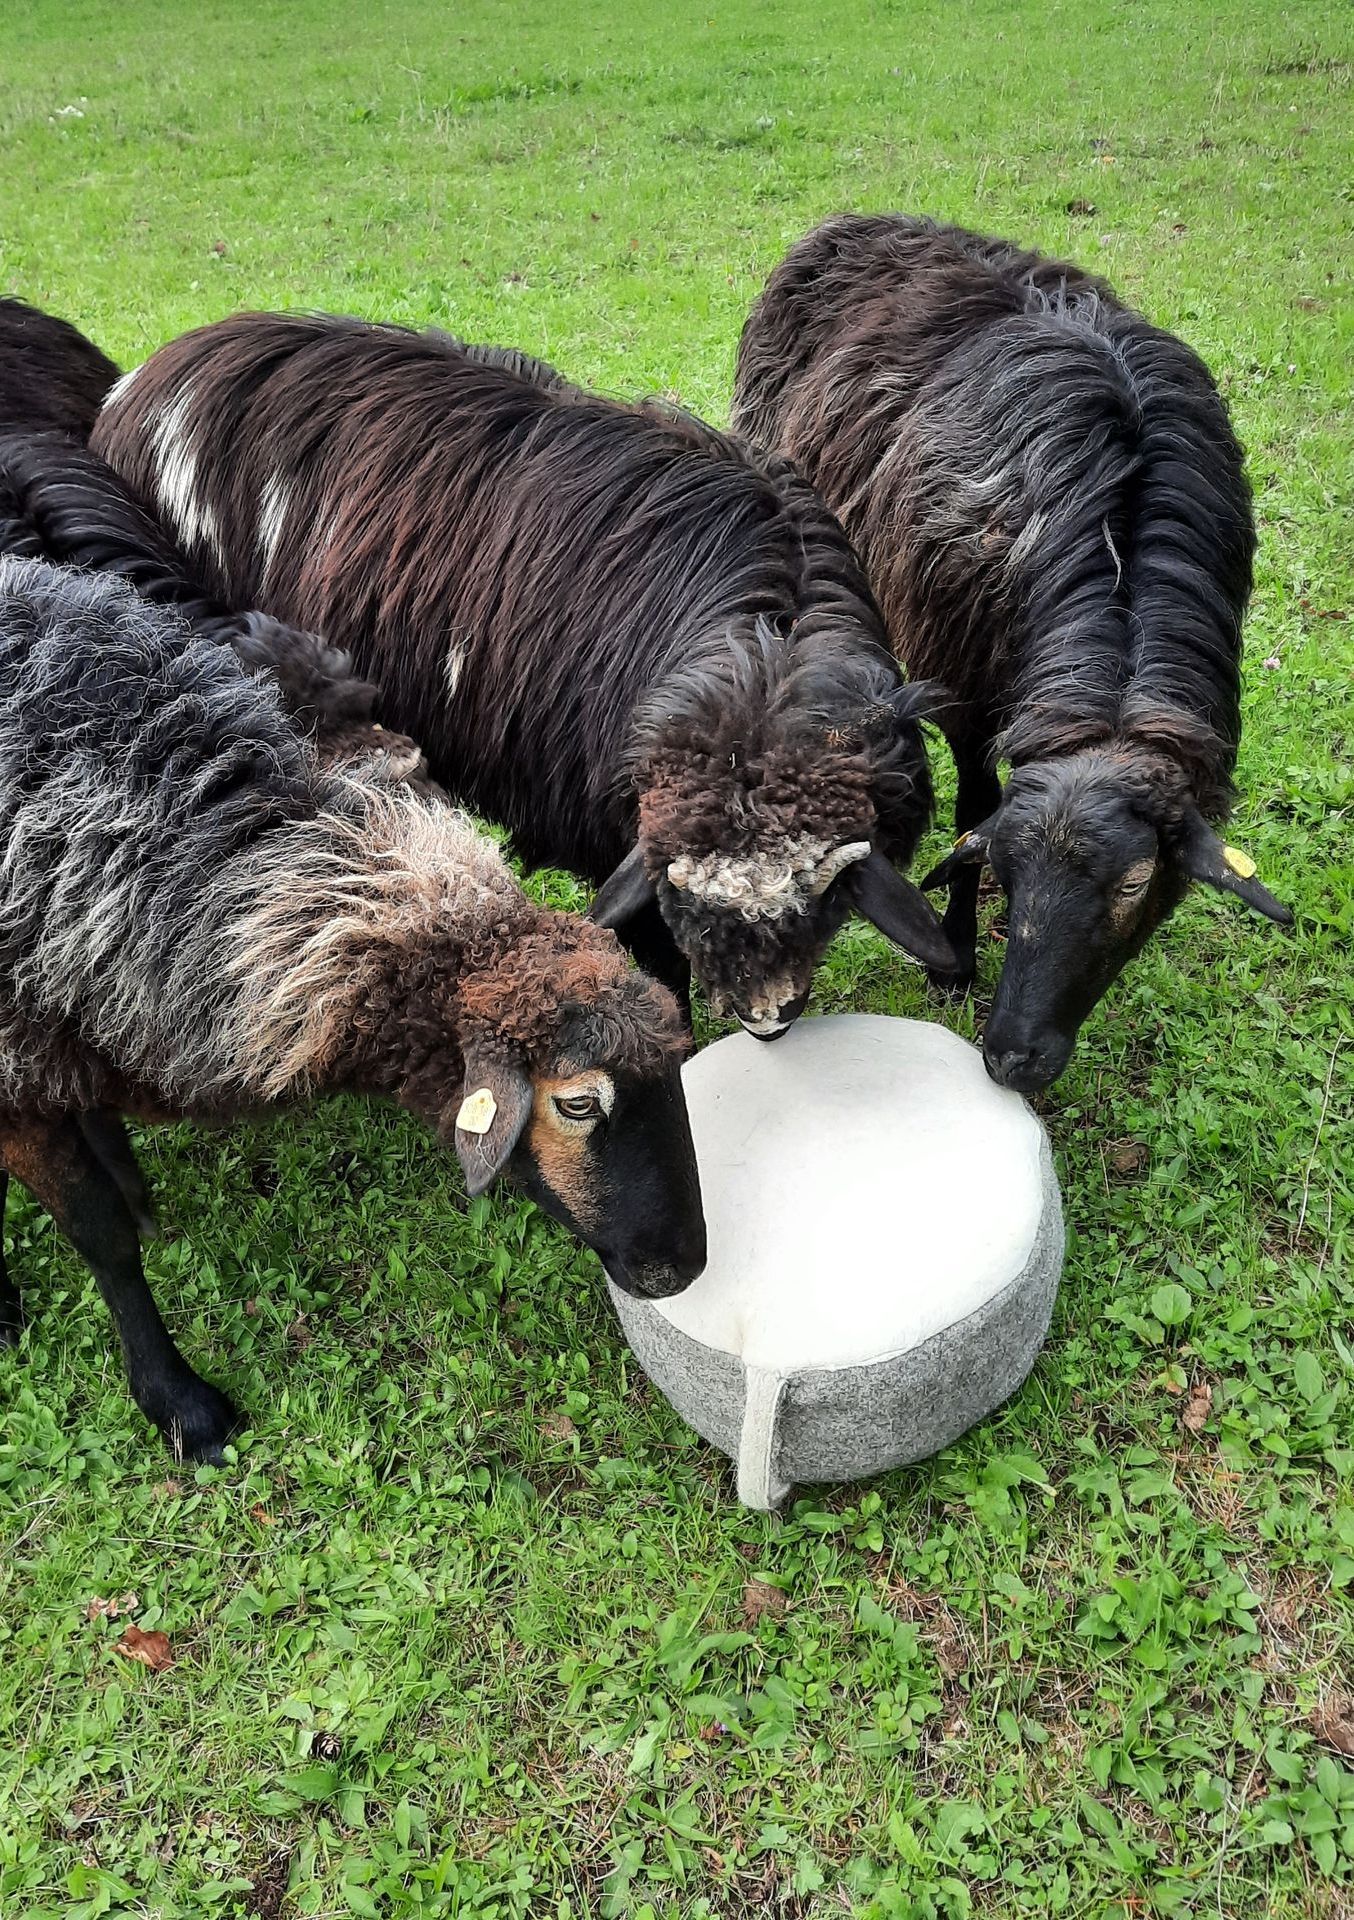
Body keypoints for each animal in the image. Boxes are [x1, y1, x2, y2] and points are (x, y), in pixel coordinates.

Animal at [732, 212, 1290, 1091]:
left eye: (1136, 881)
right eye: (1011, 869)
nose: (1011, 1058)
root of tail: (857, 219)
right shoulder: (959, 679)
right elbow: (972, 809)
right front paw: (957, 956)